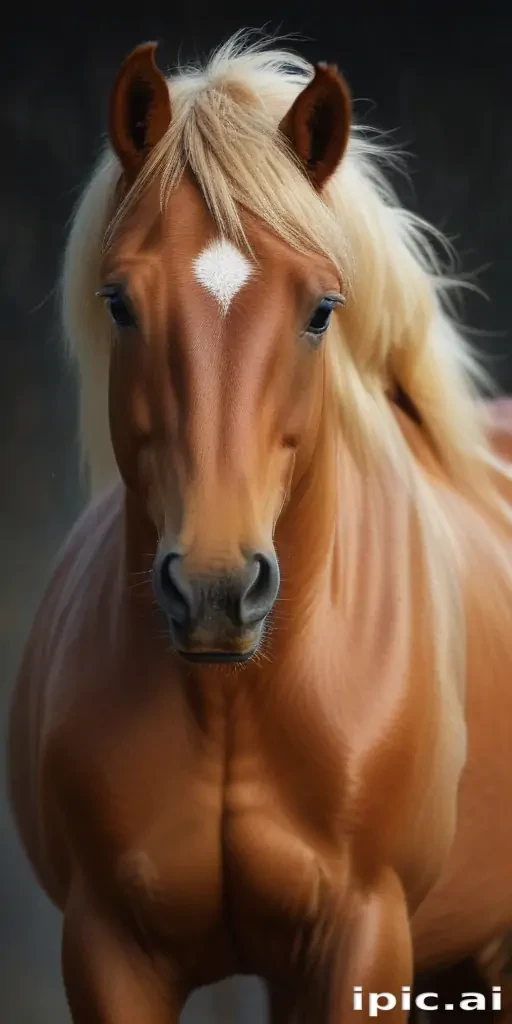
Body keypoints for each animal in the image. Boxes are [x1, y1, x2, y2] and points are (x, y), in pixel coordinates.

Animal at [8, 32, 512, 1023]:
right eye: (120, 302)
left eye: (320, 310)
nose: (215, 590)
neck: (234, 704)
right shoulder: (107, 951)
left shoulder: (363, 941)